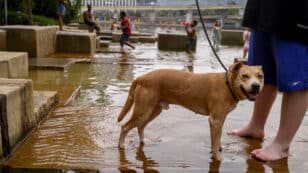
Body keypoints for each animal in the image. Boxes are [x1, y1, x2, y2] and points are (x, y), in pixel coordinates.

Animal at [116, 61, 264, 159]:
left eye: (260, 76)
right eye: (245, 76)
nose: (256, 86)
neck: (227, 84)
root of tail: (141, 77)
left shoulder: (220, 120)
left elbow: (217, 138)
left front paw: (217, 149)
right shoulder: (215, 120)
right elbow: (215, 140)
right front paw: (218, 157)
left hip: (154, 110)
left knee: (140, 126)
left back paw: (142, 141)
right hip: (143, 110)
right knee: (125, 126)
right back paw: (121, 146)